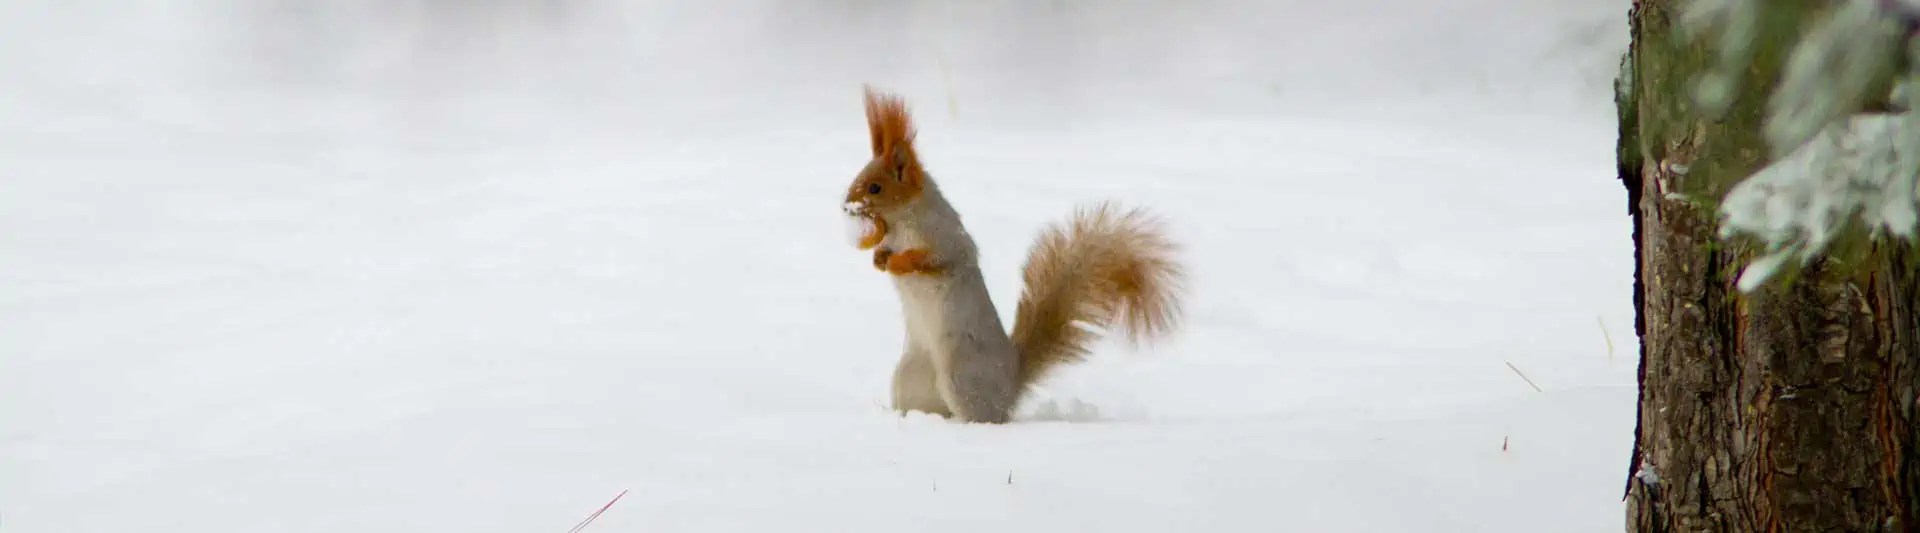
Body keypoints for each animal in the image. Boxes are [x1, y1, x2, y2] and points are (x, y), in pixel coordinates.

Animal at [840, 86, 1185, 423]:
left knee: (982, 416)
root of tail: (1011, 384)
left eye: (875, 188)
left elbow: (939, 259)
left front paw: (899, 262)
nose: (846, 205)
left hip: (961, 376)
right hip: (909, 375)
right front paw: (879, 258)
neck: (900, 222)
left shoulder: (946, 237)